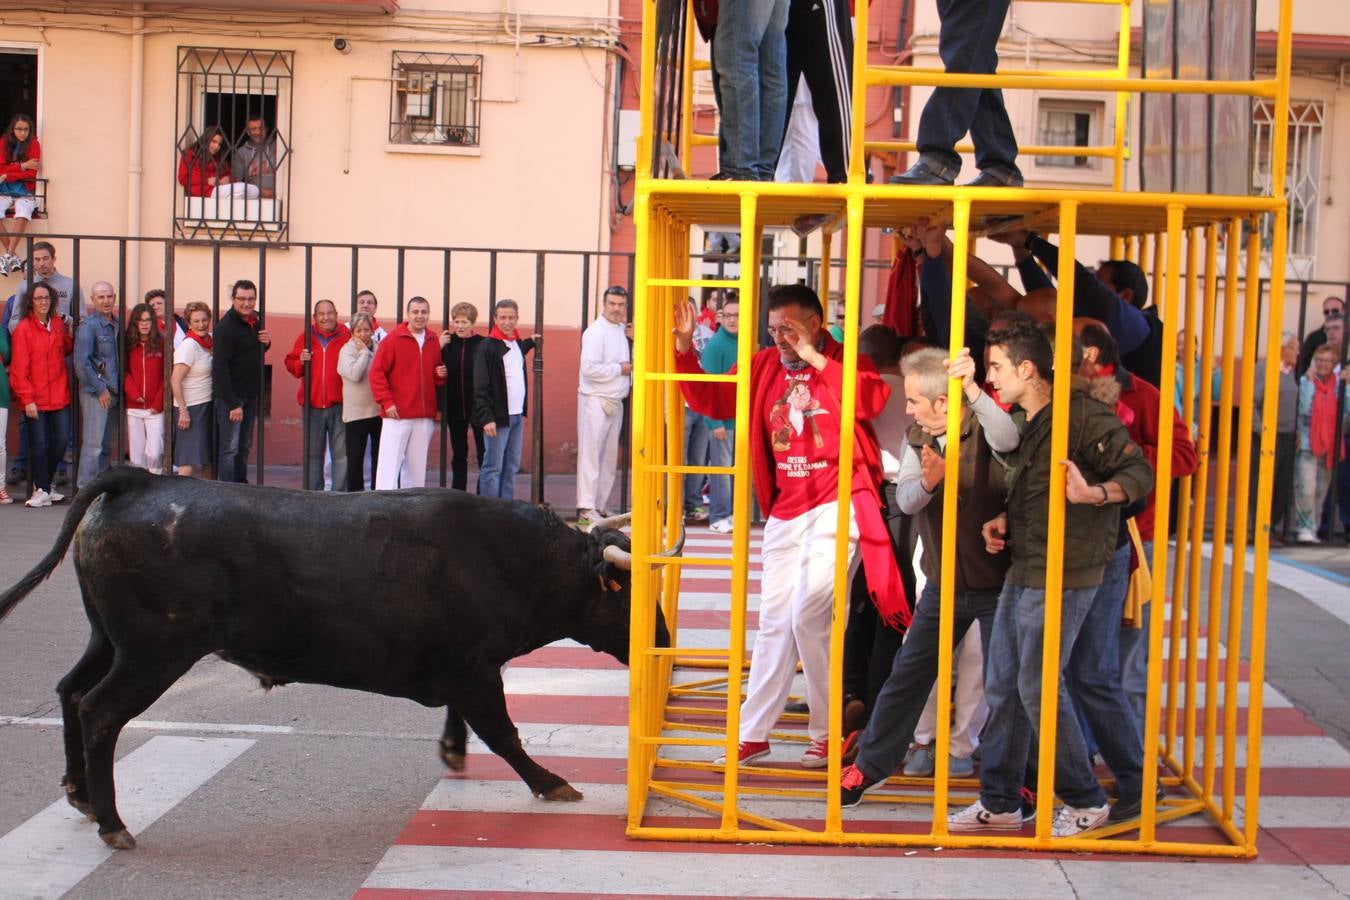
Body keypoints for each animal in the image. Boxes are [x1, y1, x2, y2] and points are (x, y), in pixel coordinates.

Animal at [0, 472, 672, 852]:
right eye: (632, 598)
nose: (664, 641)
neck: (512, 559)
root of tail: (137, 481)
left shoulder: (464, 672)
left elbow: (466, 724)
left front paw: (454, 753)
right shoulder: (476, 672)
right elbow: (504, 734)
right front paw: (551, 782)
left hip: (109, 640)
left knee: (70, 692)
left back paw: (82, 797)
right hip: (153, 653)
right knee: (100, 712)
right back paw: (112, 821)